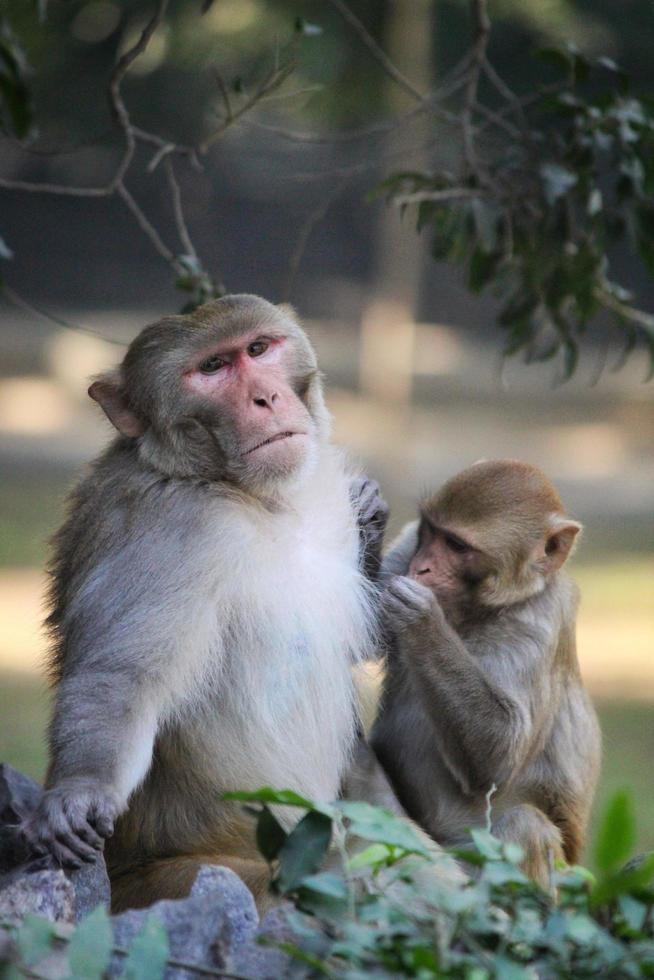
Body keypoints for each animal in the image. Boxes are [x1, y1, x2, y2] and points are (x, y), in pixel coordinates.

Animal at [23, 290, 392, 912]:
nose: (266, 397)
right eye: (213, 369)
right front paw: (81, 789)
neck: (253, 497)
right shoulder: (171, 533)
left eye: (259, 349)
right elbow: (122, 678)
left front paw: (372, 516)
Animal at [374, 462, 604, 888]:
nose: (422, 567)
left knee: (524, 824)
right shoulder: (407, 546)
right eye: (431, 532)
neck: (475, 613)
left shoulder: (539, 624)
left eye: (457, 546)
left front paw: (422, 621)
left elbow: (499, 756)